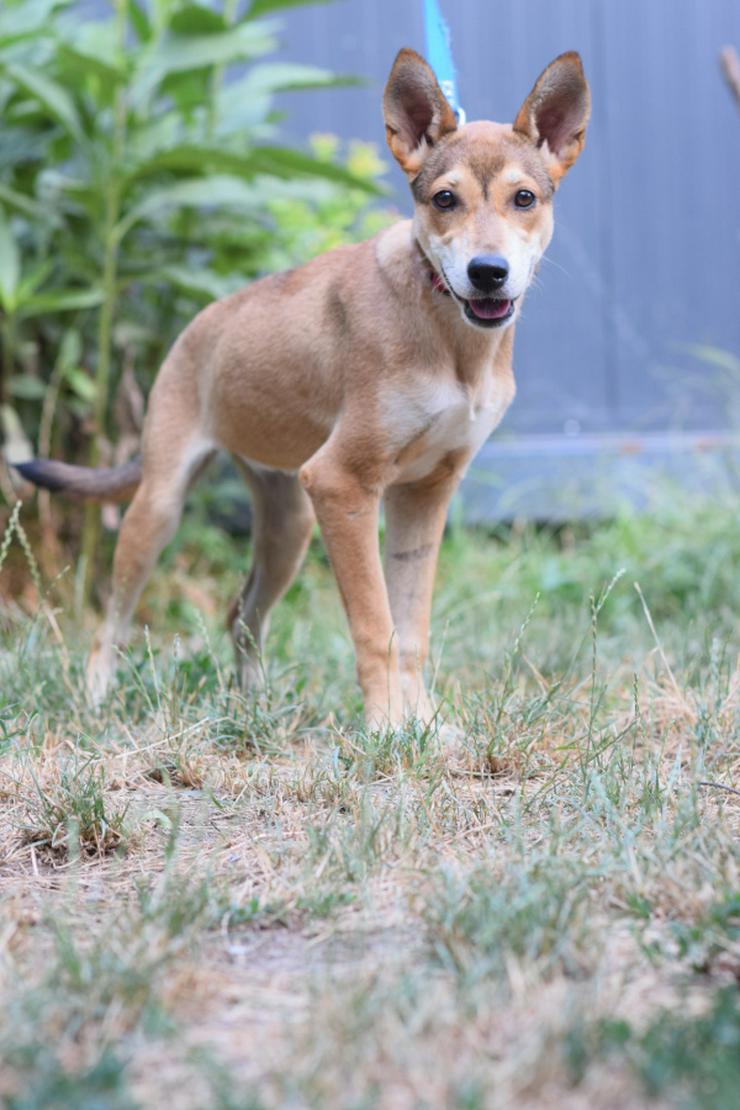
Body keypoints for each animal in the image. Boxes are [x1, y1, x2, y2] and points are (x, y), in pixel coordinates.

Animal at [17, 49, 590, 728]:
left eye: (524, 198)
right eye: (445, 199)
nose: (488, 273)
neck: (450, 337)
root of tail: (196, 327)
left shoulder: (425, 492)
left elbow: (411, 629)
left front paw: (423, 725)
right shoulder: (342, 483)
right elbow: (375, 625)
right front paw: (386, 729)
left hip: (289, 524)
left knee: (240, 613)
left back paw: (254, 708)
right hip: (160, 505)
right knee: (112, 619)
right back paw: (98, 697)